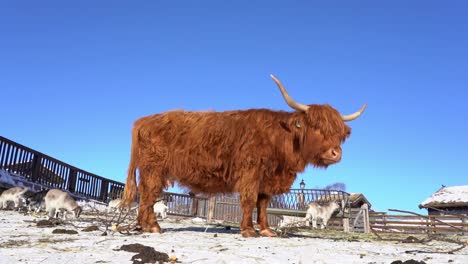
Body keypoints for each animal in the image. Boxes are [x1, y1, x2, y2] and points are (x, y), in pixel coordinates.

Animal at [121, 74, 366, 237]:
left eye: (340, 133)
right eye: (315, 127)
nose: (335, 153)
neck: (280, 139)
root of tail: (144, 120)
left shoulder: (267, 179)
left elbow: (263, 204)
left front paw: (266, 230)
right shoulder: (250, 174)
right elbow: (249, 201)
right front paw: (248, 230)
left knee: (146, 195)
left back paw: (144, 225)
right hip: (154, 170)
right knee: (148, 194)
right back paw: (152, 226)